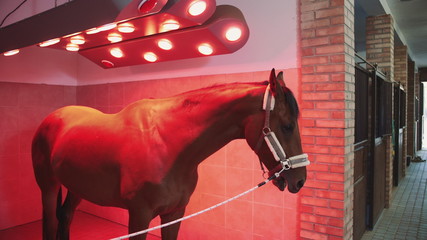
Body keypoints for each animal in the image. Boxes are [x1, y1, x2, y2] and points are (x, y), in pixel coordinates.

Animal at [32, 68, 308, 239]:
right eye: (287, 125)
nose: (300, 180)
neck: (167, 145)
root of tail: (51, 118)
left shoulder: (175, 214)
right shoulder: (139, 215)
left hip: (77, 188)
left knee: (65, 217)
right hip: (48, 187)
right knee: (51, 222)